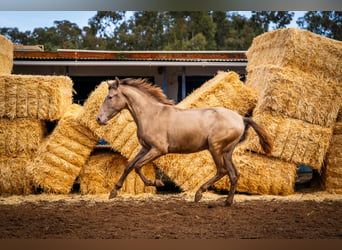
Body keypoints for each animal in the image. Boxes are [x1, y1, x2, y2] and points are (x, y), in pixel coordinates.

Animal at [97, 77, 272, 206]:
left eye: (110, 97)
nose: (99, 119)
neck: (151, 114)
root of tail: (241, 118)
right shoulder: (145, 148)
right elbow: (129, 166)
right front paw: (113, 192)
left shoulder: (158, 149)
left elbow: (138, 166)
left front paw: (156, 183)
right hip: (227, 151)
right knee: (234, 174)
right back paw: (227, 202)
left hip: (215, 148)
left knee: (222, 171)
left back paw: (199, 194)